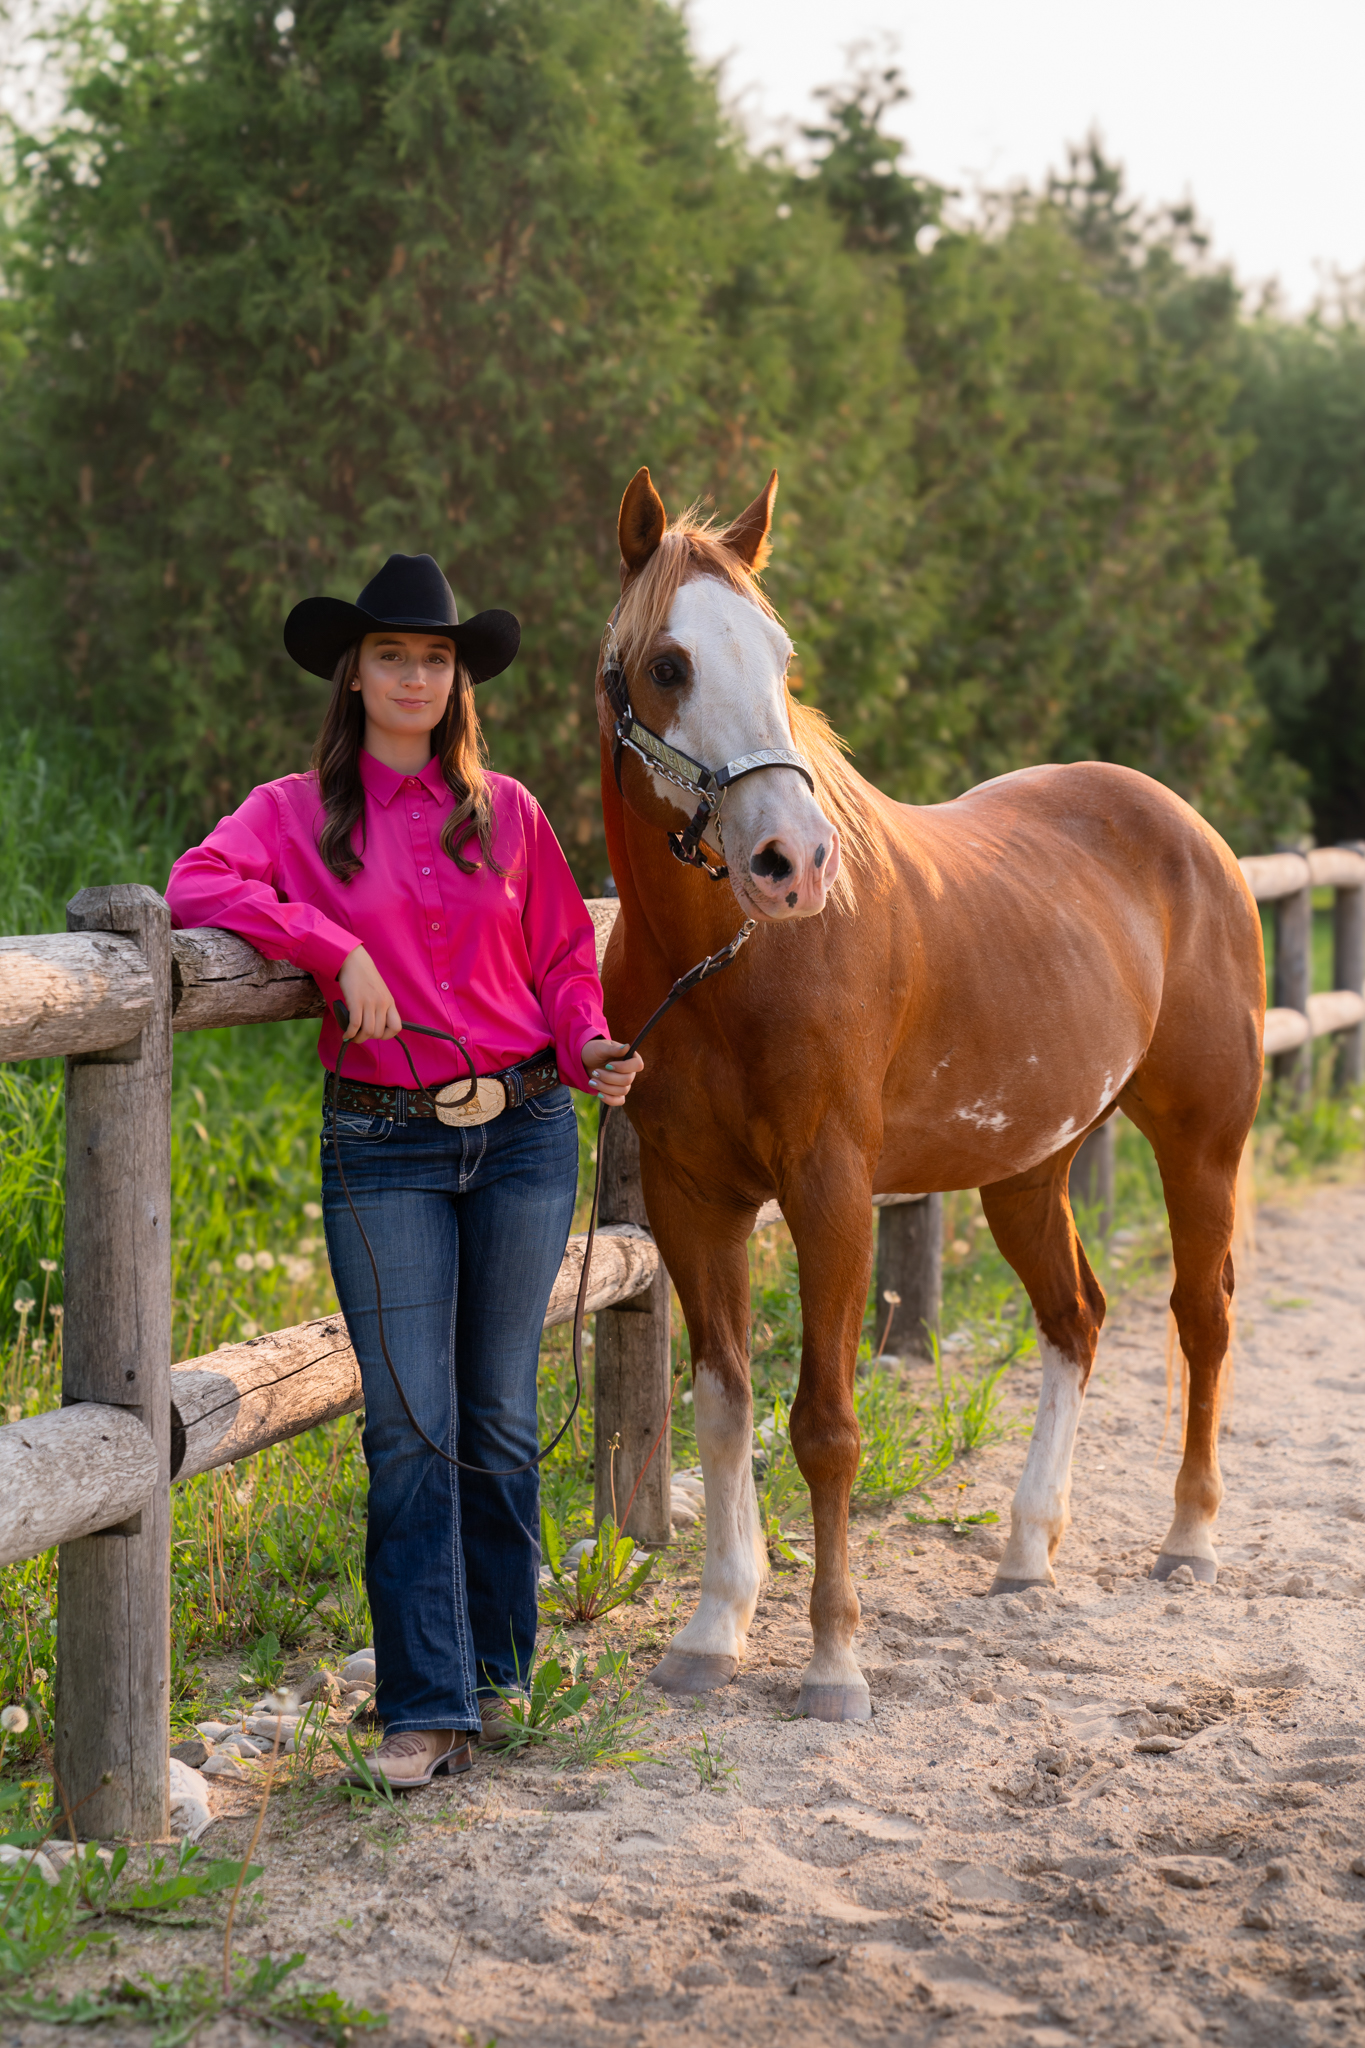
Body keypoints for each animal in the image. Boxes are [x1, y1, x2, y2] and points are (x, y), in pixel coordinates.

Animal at [596, 465, 1265, 1723]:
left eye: (781, 655)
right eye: (667, 663)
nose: (794, 863)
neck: (736, 965)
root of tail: (1191, 827)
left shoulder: (831, 1193)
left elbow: (825, 1425)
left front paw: (832, 1661)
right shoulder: (690, 1198)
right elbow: (722, 1408)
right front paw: (713, 1629)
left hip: (1201, 1141)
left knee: (1200, 1314)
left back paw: (1191, 1539)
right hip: (1029, 1167)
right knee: (1076, 1318)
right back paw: (1027, 1550)